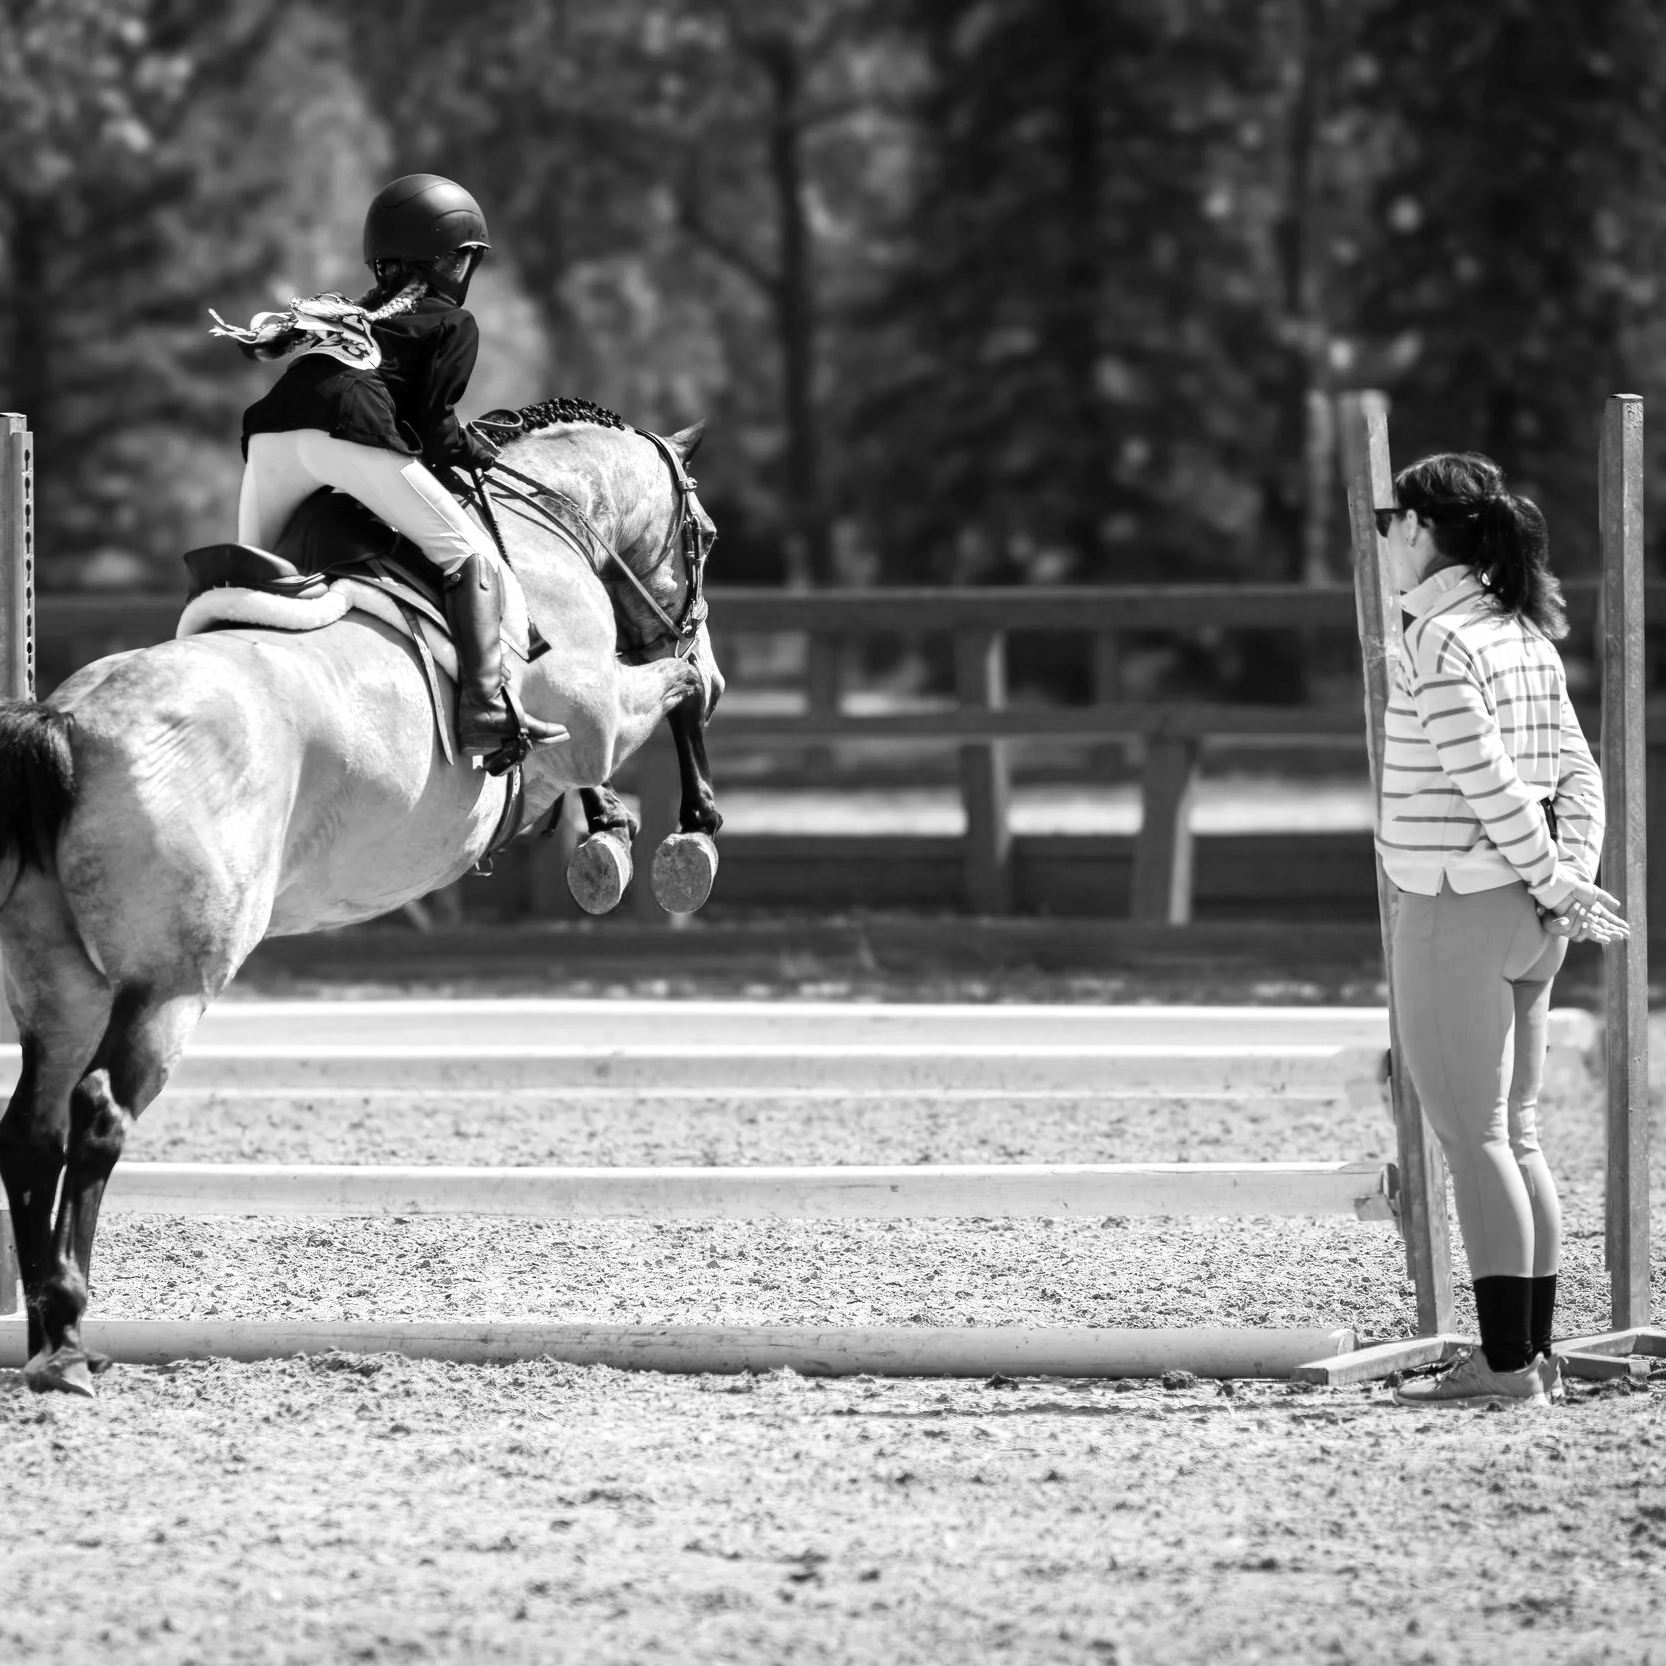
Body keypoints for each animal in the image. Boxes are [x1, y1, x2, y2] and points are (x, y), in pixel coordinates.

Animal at [0, 397, 724, 1395]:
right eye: (706, 537)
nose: (716, 661)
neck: (548, 526)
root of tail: (64, 723)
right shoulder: (600, 715)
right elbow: (677, 690)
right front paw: (692, 828)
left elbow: (606, 763)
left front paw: (609, 837)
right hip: (171, 984)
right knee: (98, 1115)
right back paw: (68, 1337)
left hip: (60, 988)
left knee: (29, 1132)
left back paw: (43, 1334)